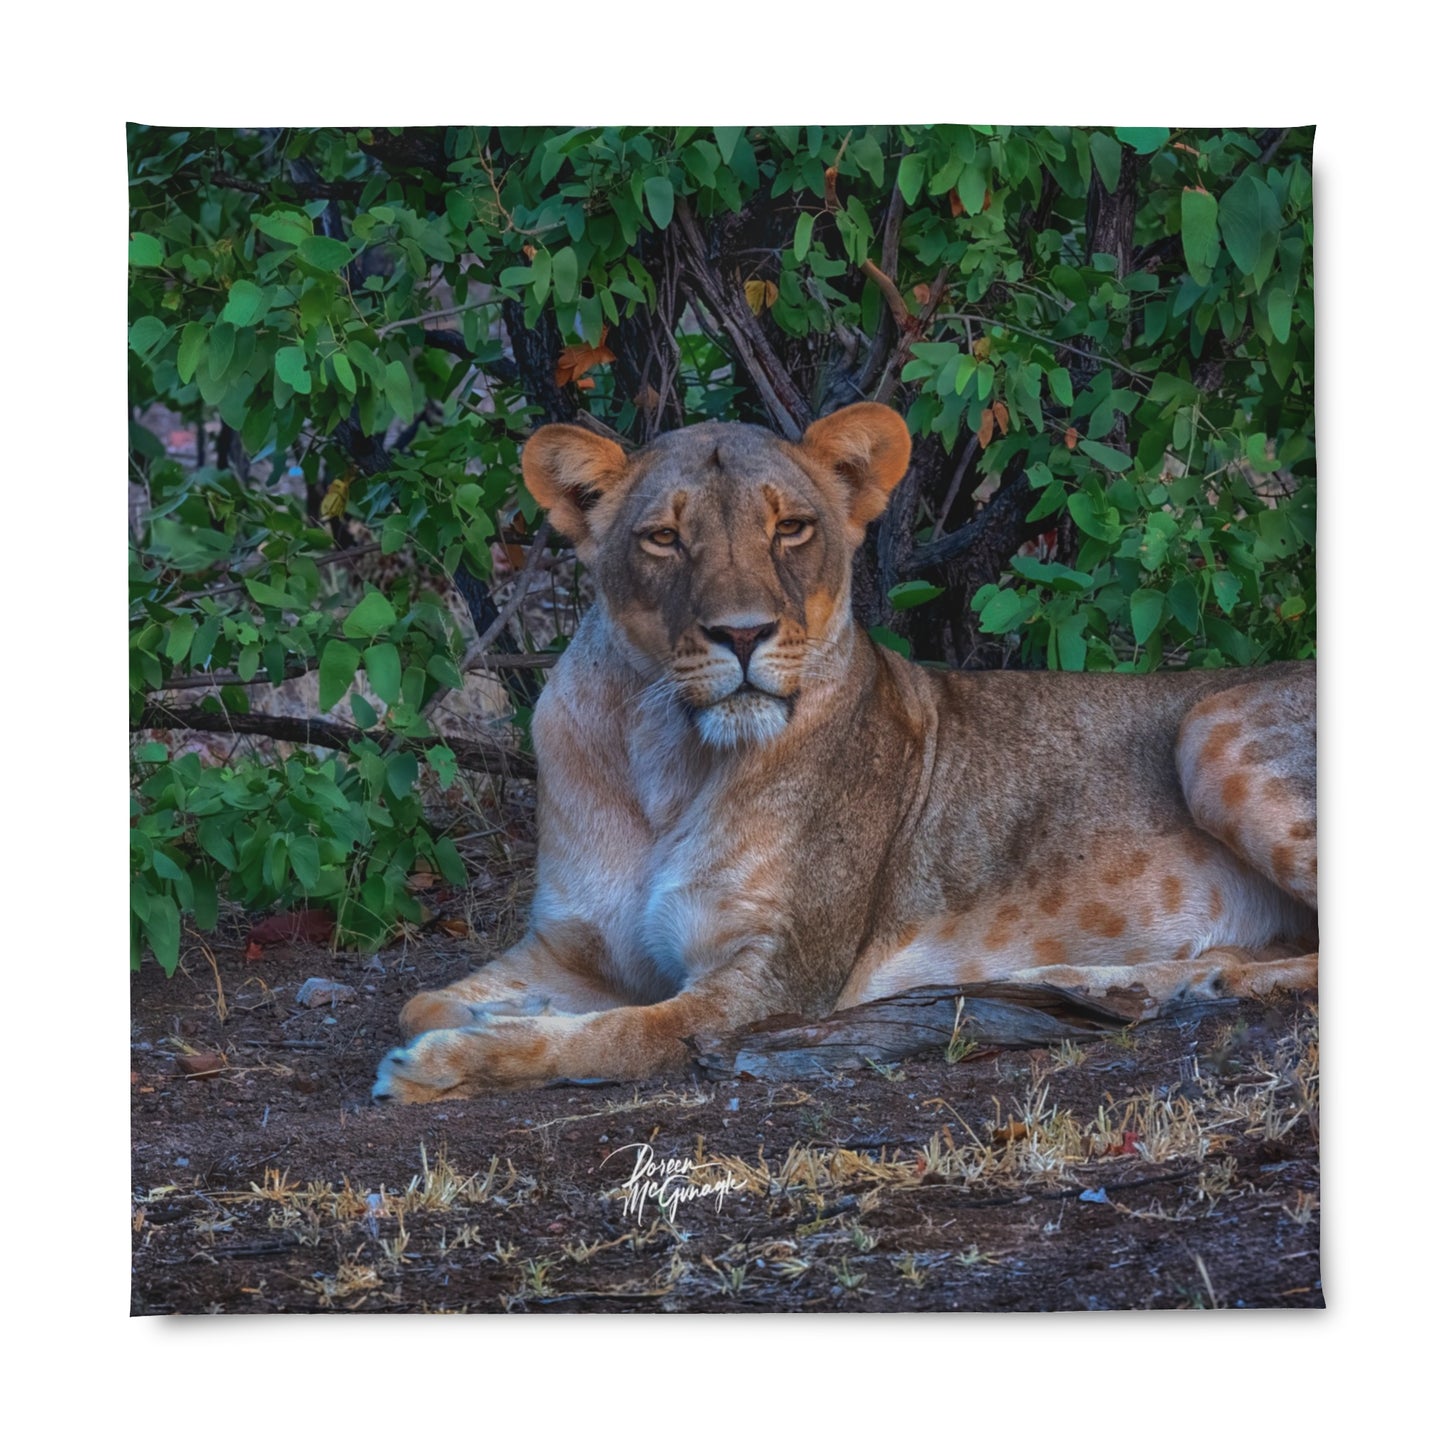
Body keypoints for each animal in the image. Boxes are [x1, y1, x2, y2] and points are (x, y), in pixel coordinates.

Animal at [374, 403, 1317, 1102]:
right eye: (663, 538)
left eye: (790, 528)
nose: (741, 633)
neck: (663, 755)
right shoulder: (572, 946)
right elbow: (418, 1001)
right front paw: (473, 1022)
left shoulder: (771, 981)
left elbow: (618, 1033)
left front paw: (450, 1062)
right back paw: (1132, 983)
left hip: (1211, 725)